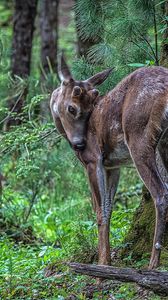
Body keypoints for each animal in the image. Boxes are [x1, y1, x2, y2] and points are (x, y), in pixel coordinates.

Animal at [50, 53, 168, 270]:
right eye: (72, 108)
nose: (80, 144)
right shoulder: (113, 165)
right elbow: (109, 208)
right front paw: (108, 261)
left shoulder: (93, 160)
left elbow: (99, 211)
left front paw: (102, 264)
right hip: (165, 142)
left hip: (139, 137)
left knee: (161, 192)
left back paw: (153, 262)